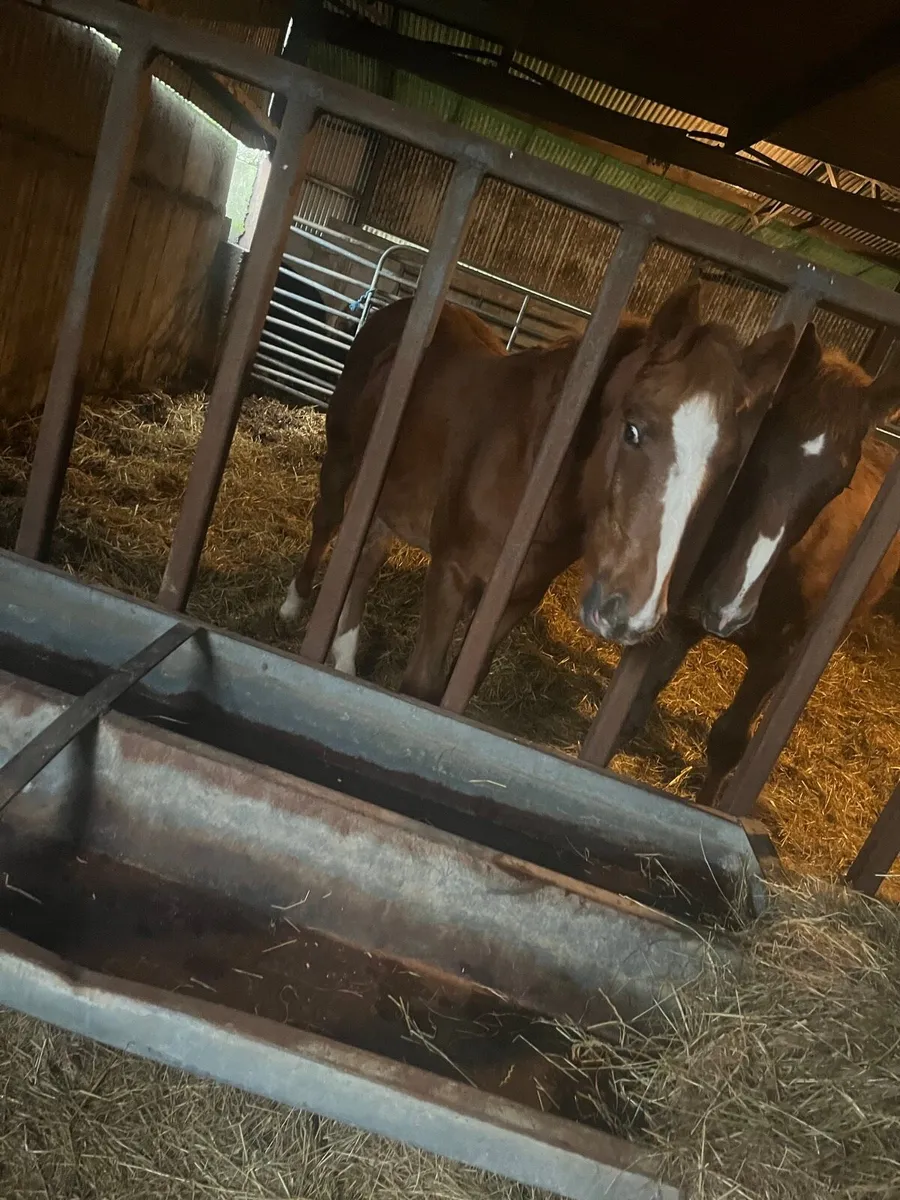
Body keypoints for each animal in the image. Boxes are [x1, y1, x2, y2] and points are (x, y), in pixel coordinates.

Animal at [280, 283, 796, 704]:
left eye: (725, 465)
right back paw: (293, 605)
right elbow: (422, 686)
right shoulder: (451, 575)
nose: (632, 614)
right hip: (342, 459)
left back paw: (345, 656)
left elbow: (461, 685)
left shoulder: (516, 599)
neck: (529, 469)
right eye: (632, 429)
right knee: (328, 520)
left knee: (368, 555)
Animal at [615, 322, 900, 805]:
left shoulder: (775, 659)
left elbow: (728, 741)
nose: (730, 606)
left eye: (838, 484)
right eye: (762, 444)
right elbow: (639, 698)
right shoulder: (682, 619)